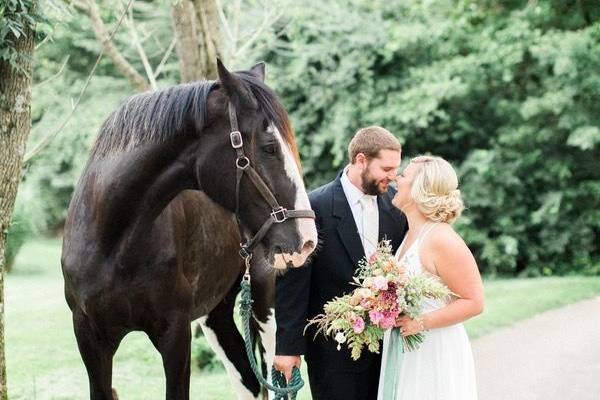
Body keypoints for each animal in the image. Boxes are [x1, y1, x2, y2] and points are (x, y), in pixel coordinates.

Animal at [61, 60, 318, 400]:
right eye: (270, 147)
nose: (307, 238)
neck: (113, 242)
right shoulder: (90, 338)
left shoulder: (175, 334)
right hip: (216, 316)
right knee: (249, 382)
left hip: (266, 309)